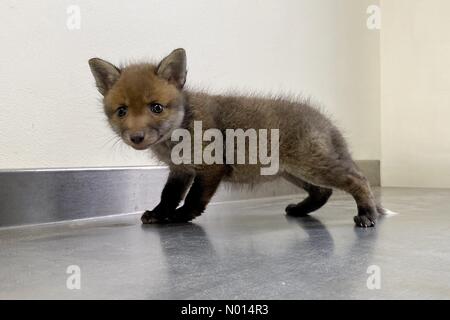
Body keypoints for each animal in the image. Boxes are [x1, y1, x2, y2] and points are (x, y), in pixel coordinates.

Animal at [90, 47, 386, 228]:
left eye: (156, 107)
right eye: (122, 111)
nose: (136, 137)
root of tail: (324, 119)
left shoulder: (210, 166)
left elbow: (193, 200)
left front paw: (180, 216)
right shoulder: (180, 170)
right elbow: (168, 195)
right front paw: (159, 213)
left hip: (311, 166)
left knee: (357, 179)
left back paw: (367, 214)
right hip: (291, 172)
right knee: (323, 191)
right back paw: (300, 210)